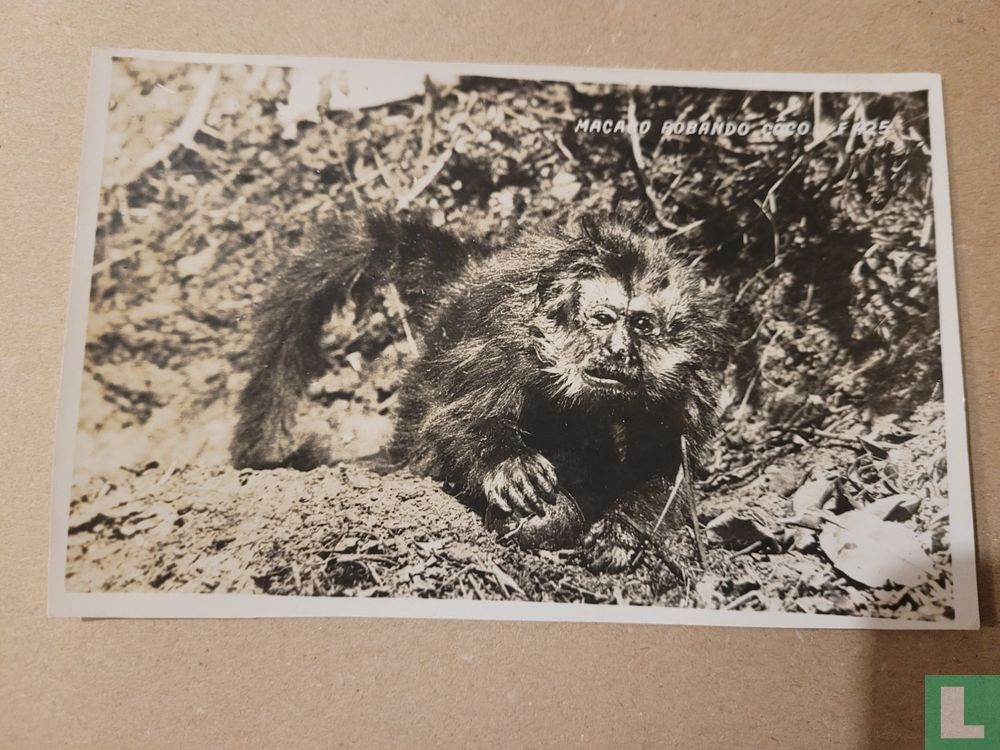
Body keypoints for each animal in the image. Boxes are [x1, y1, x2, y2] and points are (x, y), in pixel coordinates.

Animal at [231, 211, 730, 572]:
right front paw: (508, 465)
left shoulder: (685, 384)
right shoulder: (506, 339)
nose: (620, 350)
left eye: (642, 325)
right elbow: (452, 421)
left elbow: (667, 469)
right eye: (604, 319)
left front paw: (622, 530)